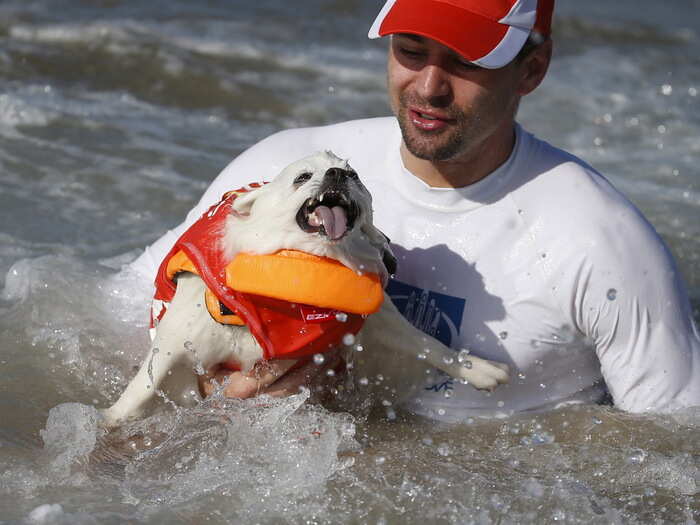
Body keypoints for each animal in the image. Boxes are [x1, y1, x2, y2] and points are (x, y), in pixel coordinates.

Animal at [102, 151, 508, 426]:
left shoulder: (371, 321)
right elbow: (139, 392)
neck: (306, 266)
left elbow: (427, 343)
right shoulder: (178, 339)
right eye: (303, 177)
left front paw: (481, 369)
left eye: (355, 175)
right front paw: (111, 424)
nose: (338, 174)